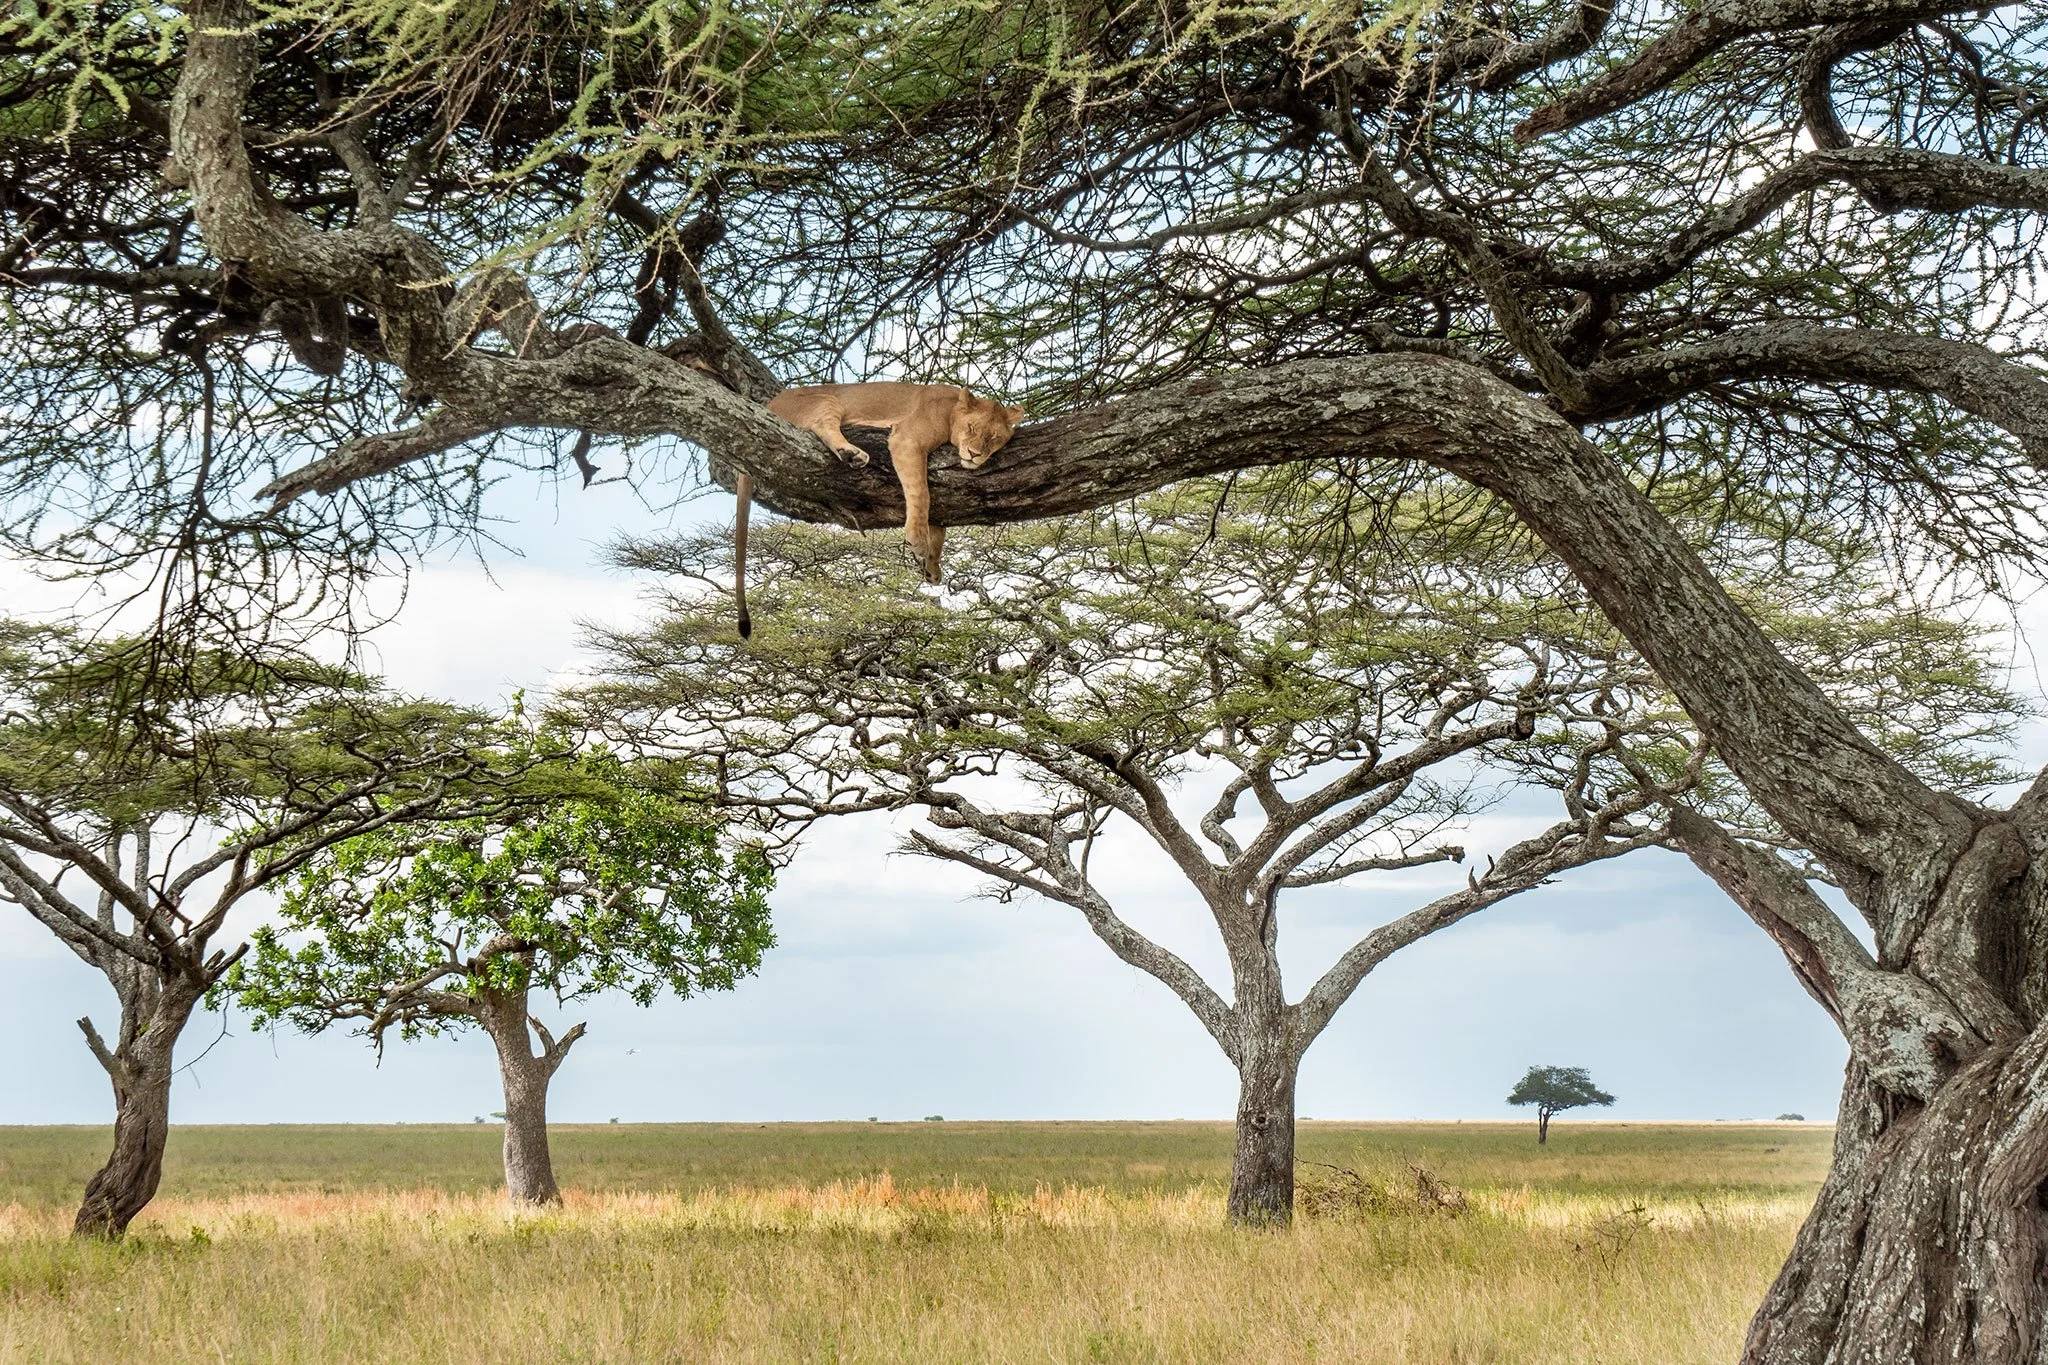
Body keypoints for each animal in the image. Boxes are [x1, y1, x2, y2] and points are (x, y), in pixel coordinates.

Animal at [734, 383, 1023, 637]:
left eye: (994, 437)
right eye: (971, 427)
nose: (974, 454)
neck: (951, 407)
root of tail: (768, 404)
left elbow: (939, 527)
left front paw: (931, 564)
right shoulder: (908, 439)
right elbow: (921, 493)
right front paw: (918, 540)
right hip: (827, 399)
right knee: (822, 424)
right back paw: (852, 453)